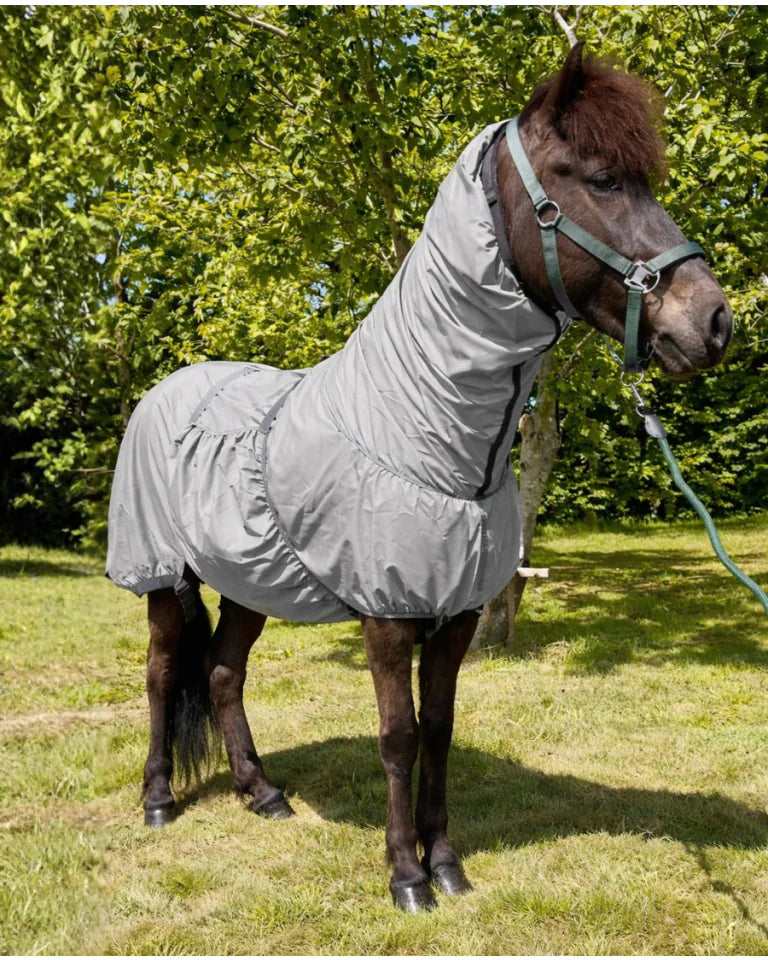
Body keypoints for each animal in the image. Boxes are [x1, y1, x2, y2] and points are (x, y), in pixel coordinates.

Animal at [106, 45, 733, 913]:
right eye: (603, 179)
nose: (714, 321)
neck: (422, 438)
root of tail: (169, 390)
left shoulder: (458, 611)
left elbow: (439, 727)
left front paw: (448, 865)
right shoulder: (389, 613)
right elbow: (398, 735)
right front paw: (406, 875)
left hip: (249, 577)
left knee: (225, 672)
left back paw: (261, 793)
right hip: (163, 576)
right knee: (165, 674)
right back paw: (160, 799)